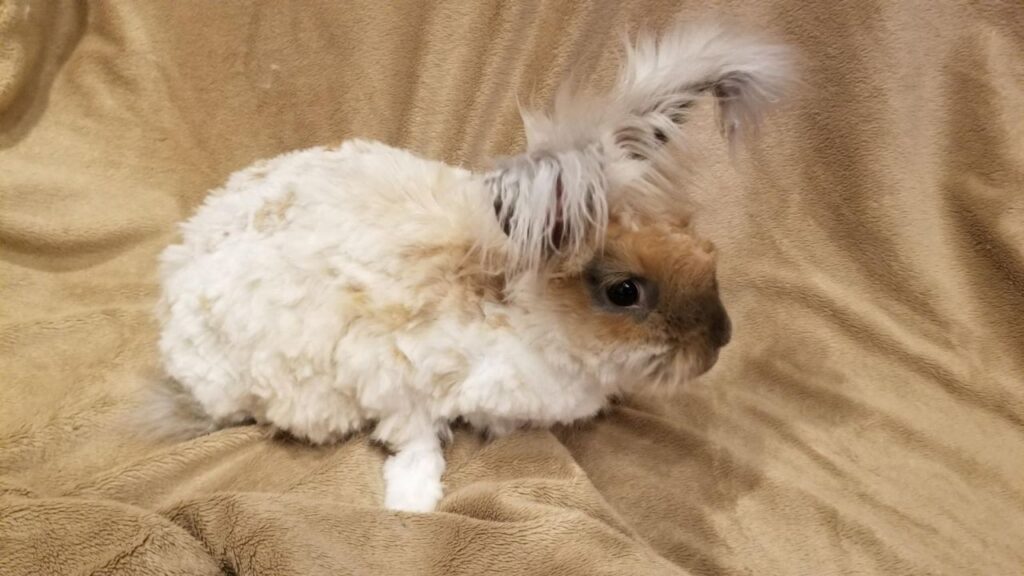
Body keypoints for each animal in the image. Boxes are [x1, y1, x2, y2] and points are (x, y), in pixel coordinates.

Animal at [152, 22, 793, 512]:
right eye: (624, 291)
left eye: (703, 246)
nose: (720, 340)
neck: (514, 309)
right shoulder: (393, 378)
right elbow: (417, 442)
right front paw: (412, 501)